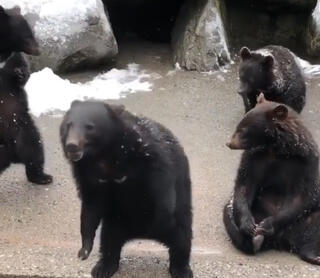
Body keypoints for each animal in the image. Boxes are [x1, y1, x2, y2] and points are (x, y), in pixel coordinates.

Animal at [61, 101, 194, 278]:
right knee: (109, 243)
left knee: (181, 239)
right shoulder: (87, 174)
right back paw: (103, 267)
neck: (104, 156)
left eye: (90, 126)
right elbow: (90, 207)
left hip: (180, 215)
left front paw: (161, 216)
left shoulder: (147, 152)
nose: (72, 146)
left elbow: (162, 182)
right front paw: (84, 250)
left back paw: (181, 269)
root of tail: (143, 234)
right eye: (68, 125)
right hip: (115, 223)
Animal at [224, 94, 320, 264]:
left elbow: (302, 196)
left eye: (243, 129)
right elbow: (245, 184)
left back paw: (313, 255)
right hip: (253, 209)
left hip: (307, 218)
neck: (277, 149)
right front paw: (249, 226)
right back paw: (253, 241)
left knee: (314, 227)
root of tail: (281, 240)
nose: (229, 143)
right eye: (239, 125)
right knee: (229, 213)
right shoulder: (254, 157)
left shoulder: (306, 162)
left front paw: (266, 225)